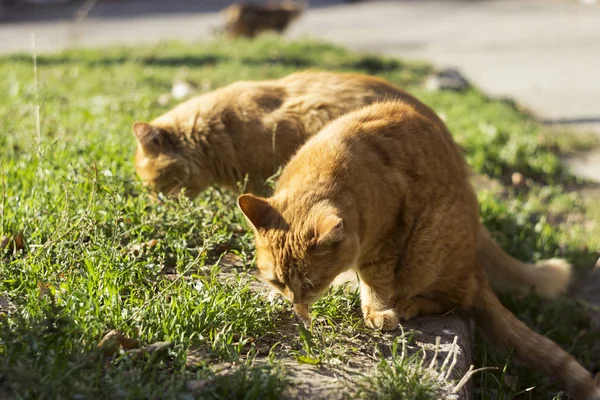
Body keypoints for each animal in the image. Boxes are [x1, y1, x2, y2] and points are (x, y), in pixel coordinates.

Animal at [239, 101, 600, 398]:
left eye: (311, 283)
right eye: (277, 281)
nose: (297, 304)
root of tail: (475, 263)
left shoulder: (387, 241)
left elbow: (376, 283)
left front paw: (377, 312)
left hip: (429, 246)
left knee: (456, 301)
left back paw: (409, 304)